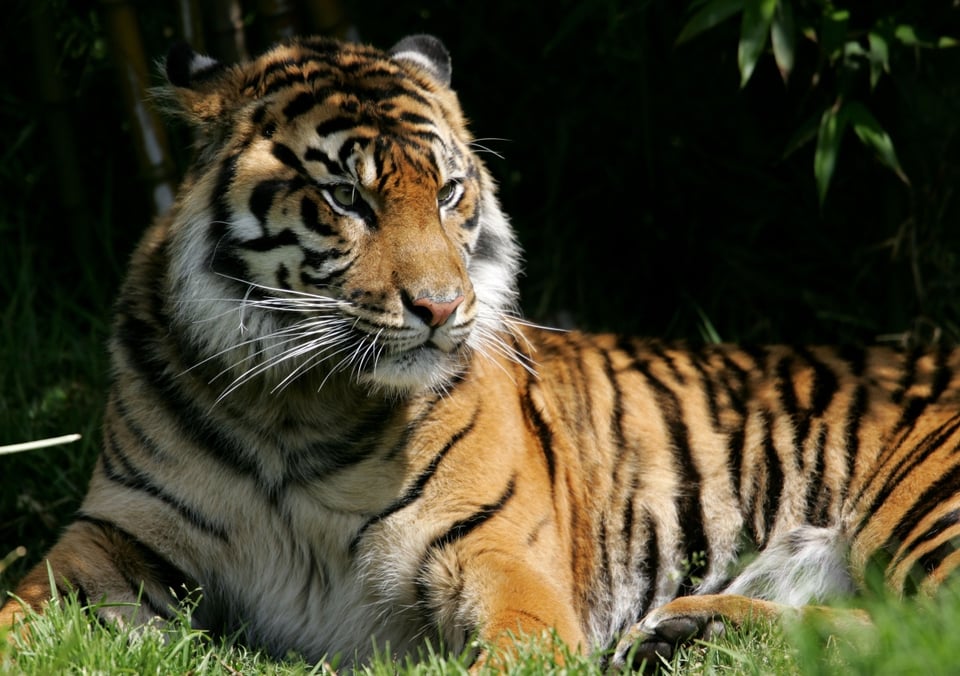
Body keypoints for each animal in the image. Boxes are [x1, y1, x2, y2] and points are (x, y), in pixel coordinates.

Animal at [3, 32, 960, 672]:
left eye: (450, 191)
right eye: (345, 198)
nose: (441, 307)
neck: (297, 412)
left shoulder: (498, 552)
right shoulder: (110, 539)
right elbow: (18, 609)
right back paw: (691, 628)